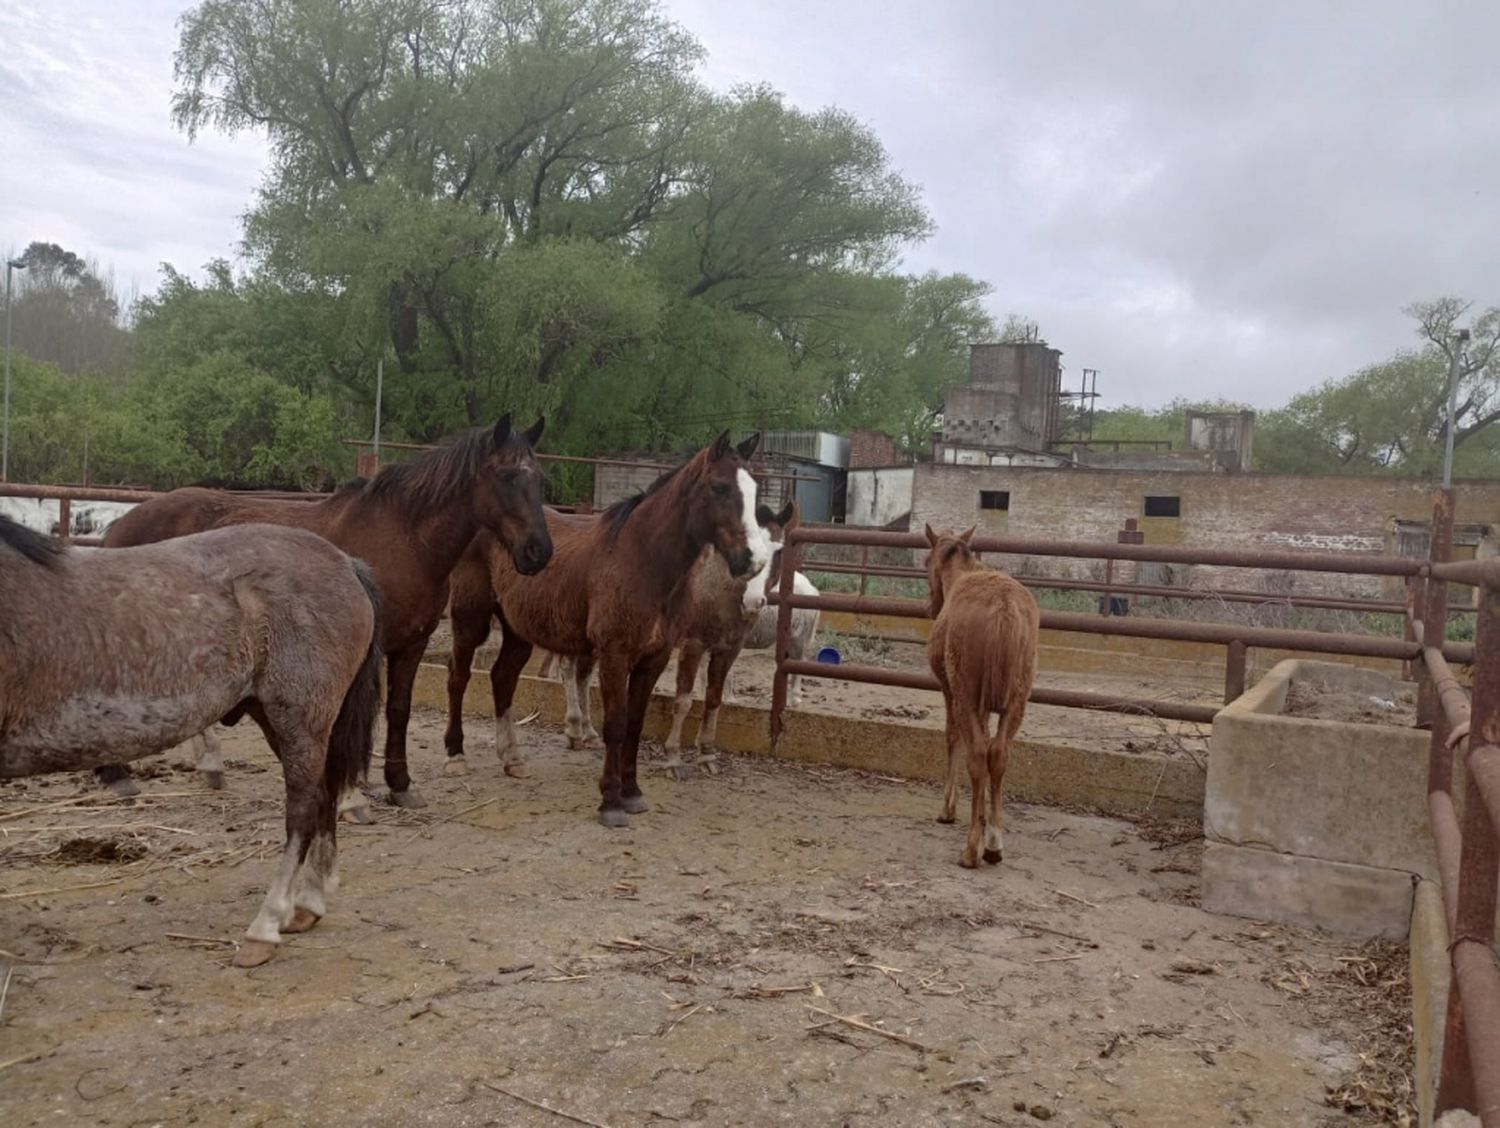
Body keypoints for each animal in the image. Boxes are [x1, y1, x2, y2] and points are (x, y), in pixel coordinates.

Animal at [0, 516, 381, 966]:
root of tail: (345, 563)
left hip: (300, 719)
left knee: (303, 811)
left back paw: (266, 927)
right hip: (275, 717)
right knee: (324, 798)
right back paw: (307, 905)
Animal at [95, 414, 552, 810]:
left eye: (540, 479)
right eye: (506, 476)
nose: (539, 551)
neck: (402, 542)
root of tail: (121, 523)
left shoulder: (412, 644)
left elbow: (398, 711)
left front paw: (399, 785)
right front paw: (350, 796)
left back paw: (207, 764)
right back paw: (118, 775)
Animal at [441, 426, 774, 822]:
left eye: (753, 489)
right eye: (720, 487)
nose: (752, 560)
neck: (643, 560)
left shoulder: (654, 659)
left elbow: (634, 725)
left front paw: (632, 793)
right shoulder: (615, 655)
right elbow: (615, 724)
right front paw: (611, 802)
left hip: (518, 630)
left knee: (502, 678)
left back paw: (512, 757)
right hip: (470, 619)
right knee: (459, 677)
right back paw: (455, 756)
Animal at [918, 525, 1038, 870]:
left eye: (926, 561)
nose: (930, 607)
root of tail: (1003, 610)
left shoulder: (950, 690)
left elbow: (952, 738)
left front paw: (948, 808)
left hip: (967, 695)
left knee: (977, 755)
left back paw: (972, 849)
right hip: (1017, 702)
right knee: (997, 755)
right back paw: (994, 842)